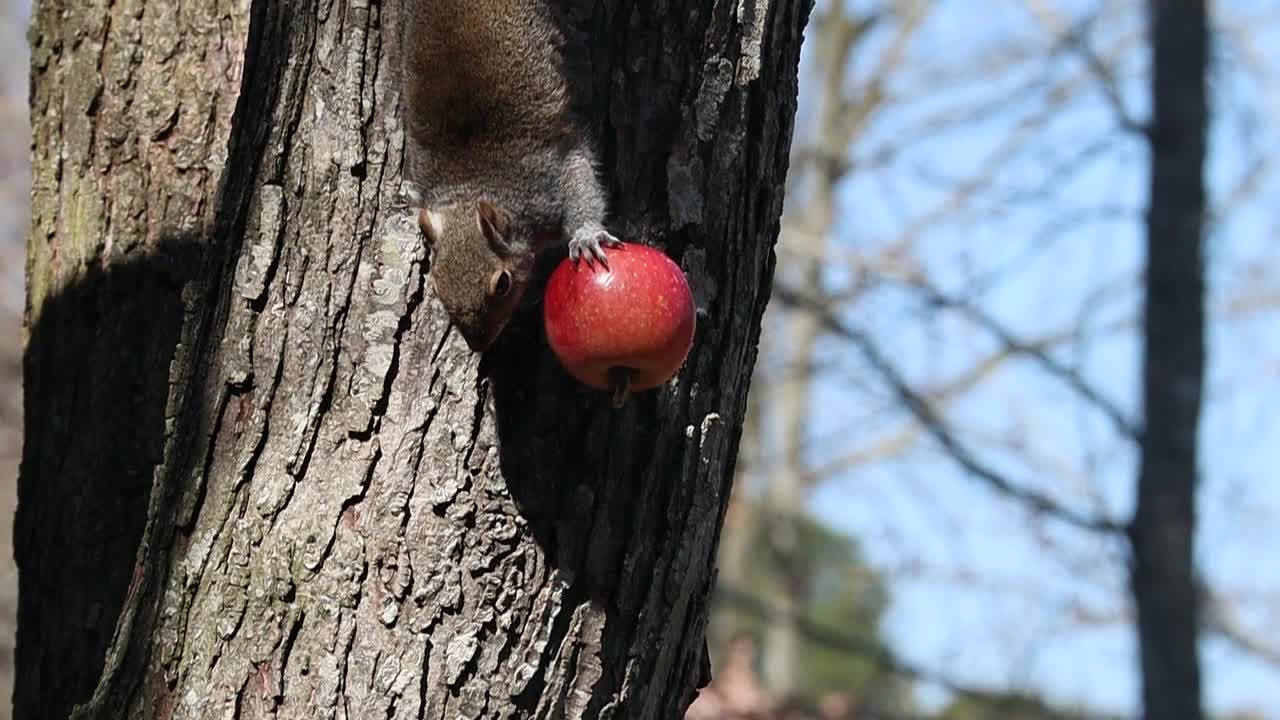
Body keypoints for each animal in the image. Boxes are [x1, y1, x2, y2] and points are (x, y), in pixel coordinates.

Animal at [399, 0, 619, 351]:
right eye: (436, 286)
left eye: (503, 283)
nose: (477, 344)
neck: (472, 185)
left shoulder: (549, 181)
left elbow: (580, 182)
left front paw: (586, 236)